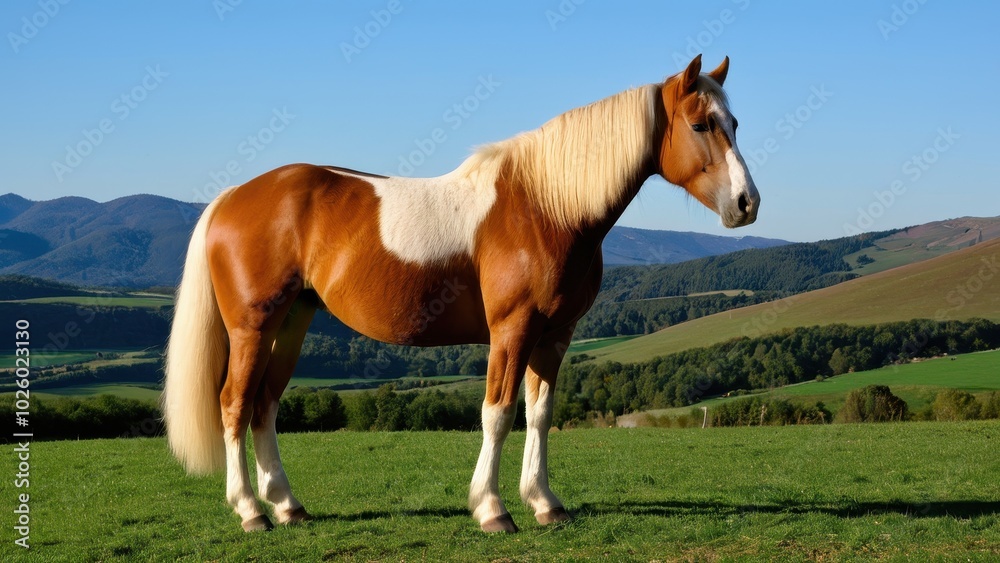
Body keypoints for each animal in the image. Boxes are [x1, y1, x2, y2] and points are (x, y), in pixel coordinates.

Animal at [162, 54, 759, 533]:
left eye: (734, 122)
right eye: (701, 123)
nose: (747, 203)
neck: (542, 207)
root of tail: (233, 196)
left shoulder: (555, 335)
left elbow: (540, 414)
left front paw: (546, 504)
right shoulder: (512, 329)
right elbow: (498, 413)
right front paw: (493, 510)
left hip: (291, 324)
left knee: (264, 405)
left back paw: (288, 506)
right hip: (253, 326)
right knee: (234, 404)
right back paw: (251, 512)